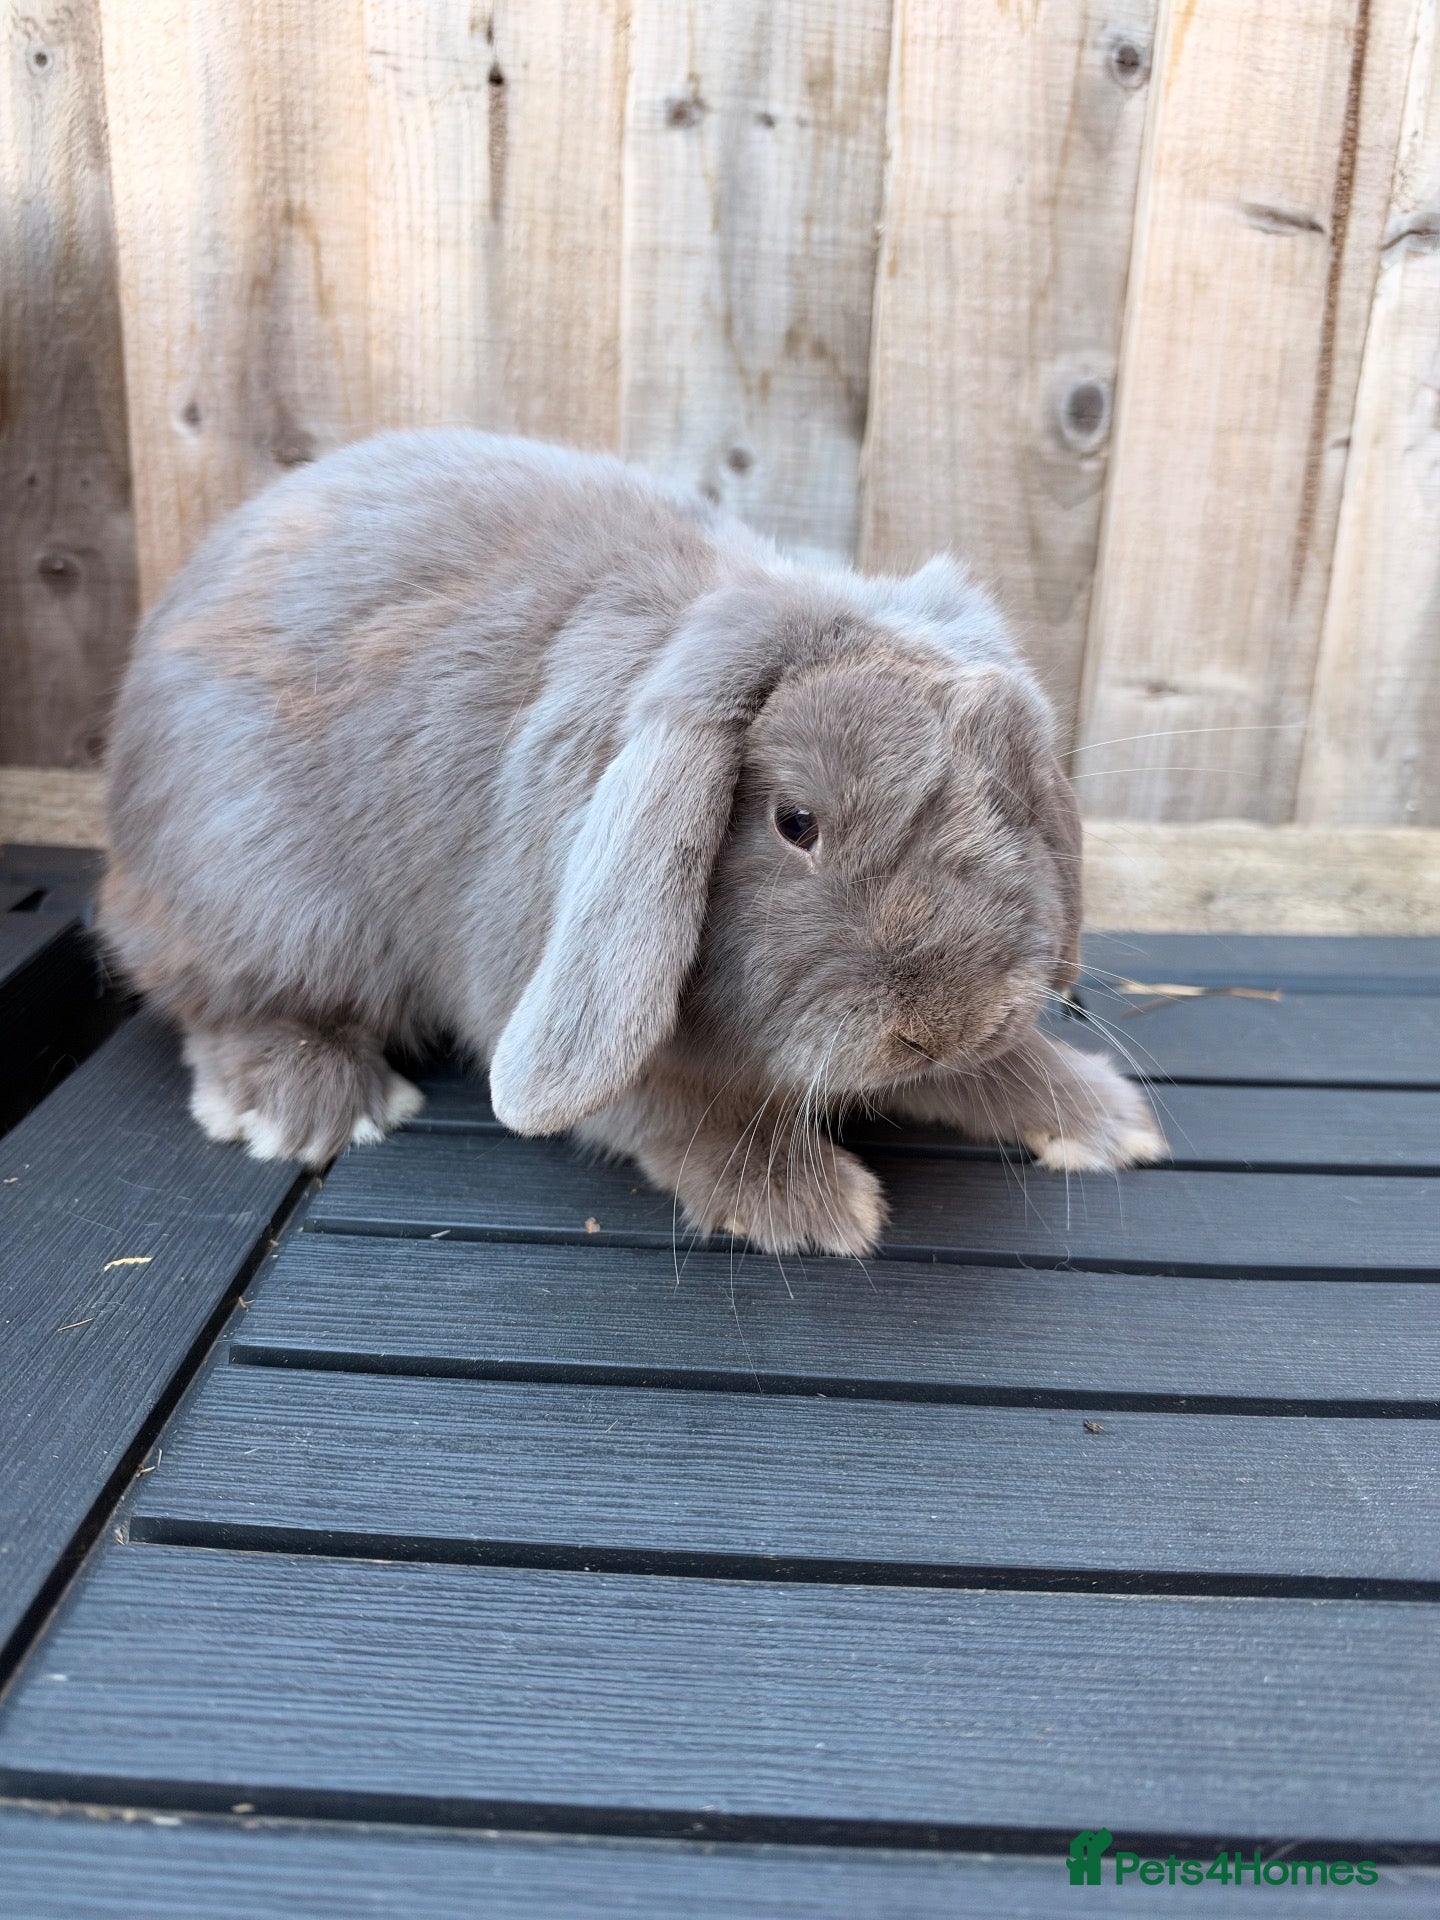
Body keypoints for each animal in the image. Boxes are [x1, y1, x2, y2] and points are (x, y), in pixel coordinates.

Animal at [102, 428, 1164, 1255]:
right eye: (795, 823)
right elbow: (678, 1109)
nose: (944, 1023)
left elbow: (996, 1072)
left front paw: (1103, 1119)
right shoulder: (540, 986)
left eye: (1011, 804)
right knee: (224, 1002)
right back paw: (312, 1104)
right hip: (266, 902)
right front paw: (811, 1206)